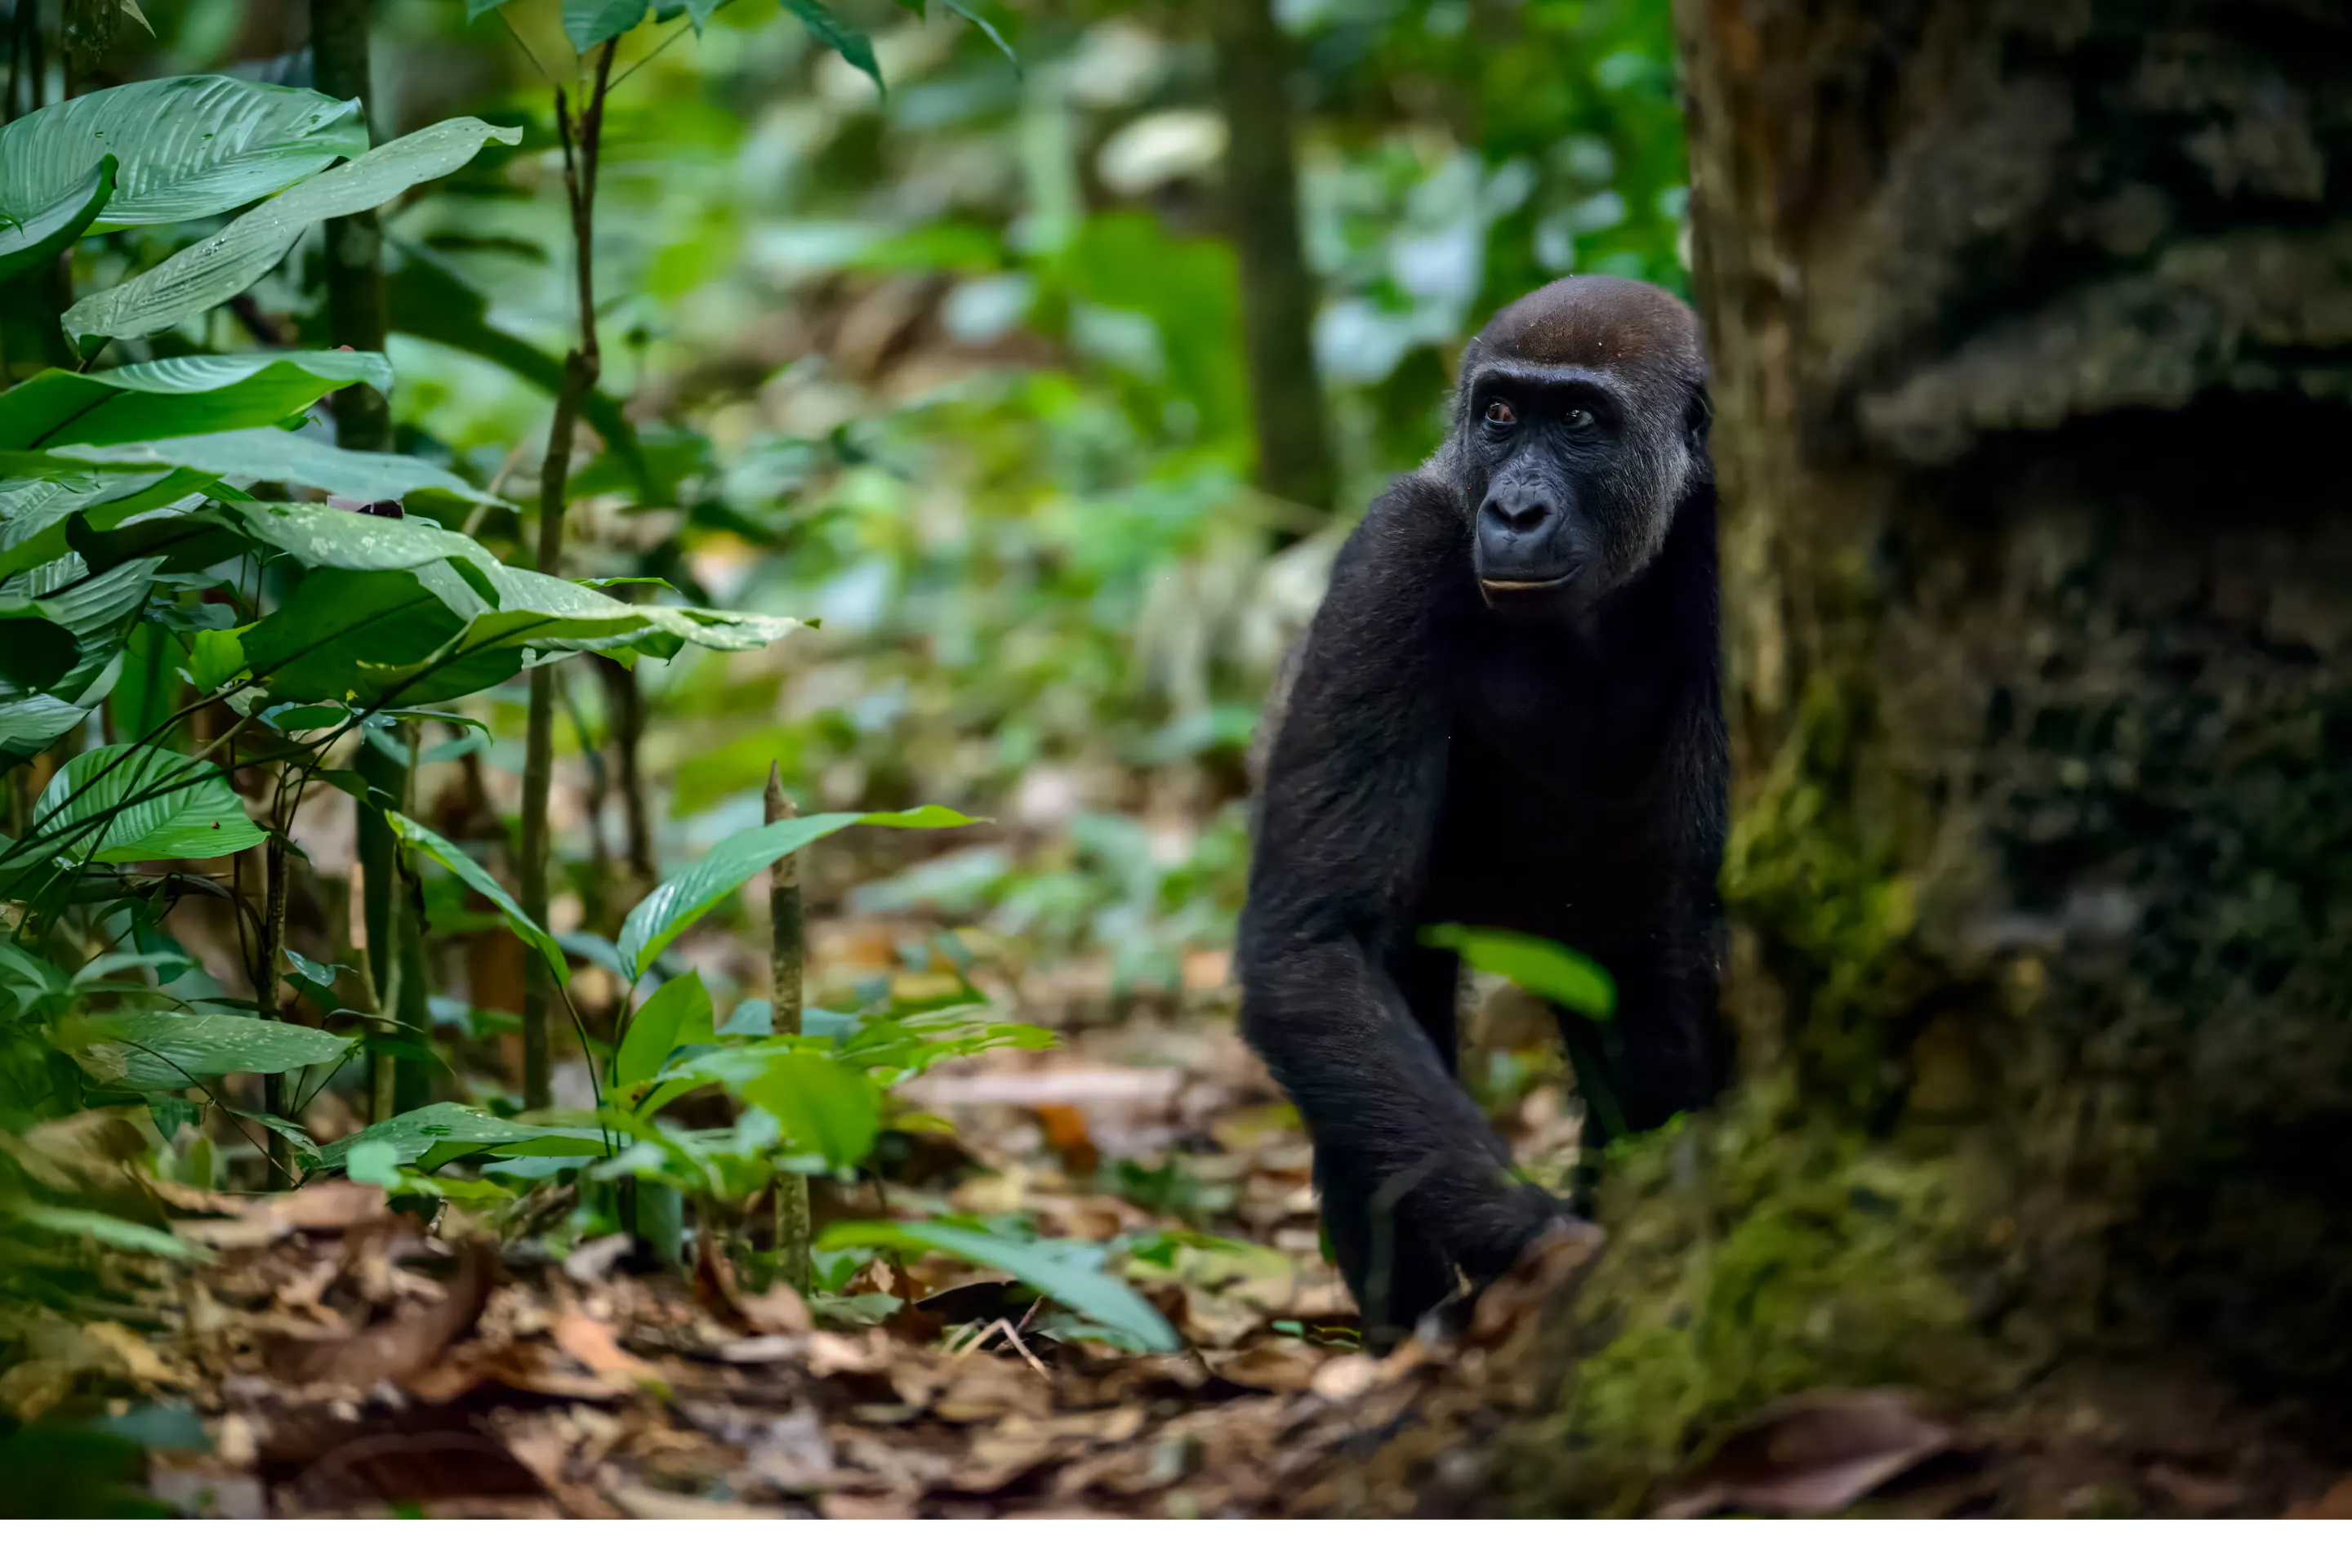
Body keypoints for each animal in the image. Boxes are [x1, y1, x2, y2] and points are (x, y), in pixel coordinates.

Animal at [1236, 275, 1728, 1333]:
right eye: (1500, 416)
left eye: (1580, 422)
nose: (1513, 509)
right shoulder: (1398, 547)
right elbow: (1315, 946)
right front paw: (1544, 1248)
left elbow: (1714, 926)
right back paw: (1411, 1330)